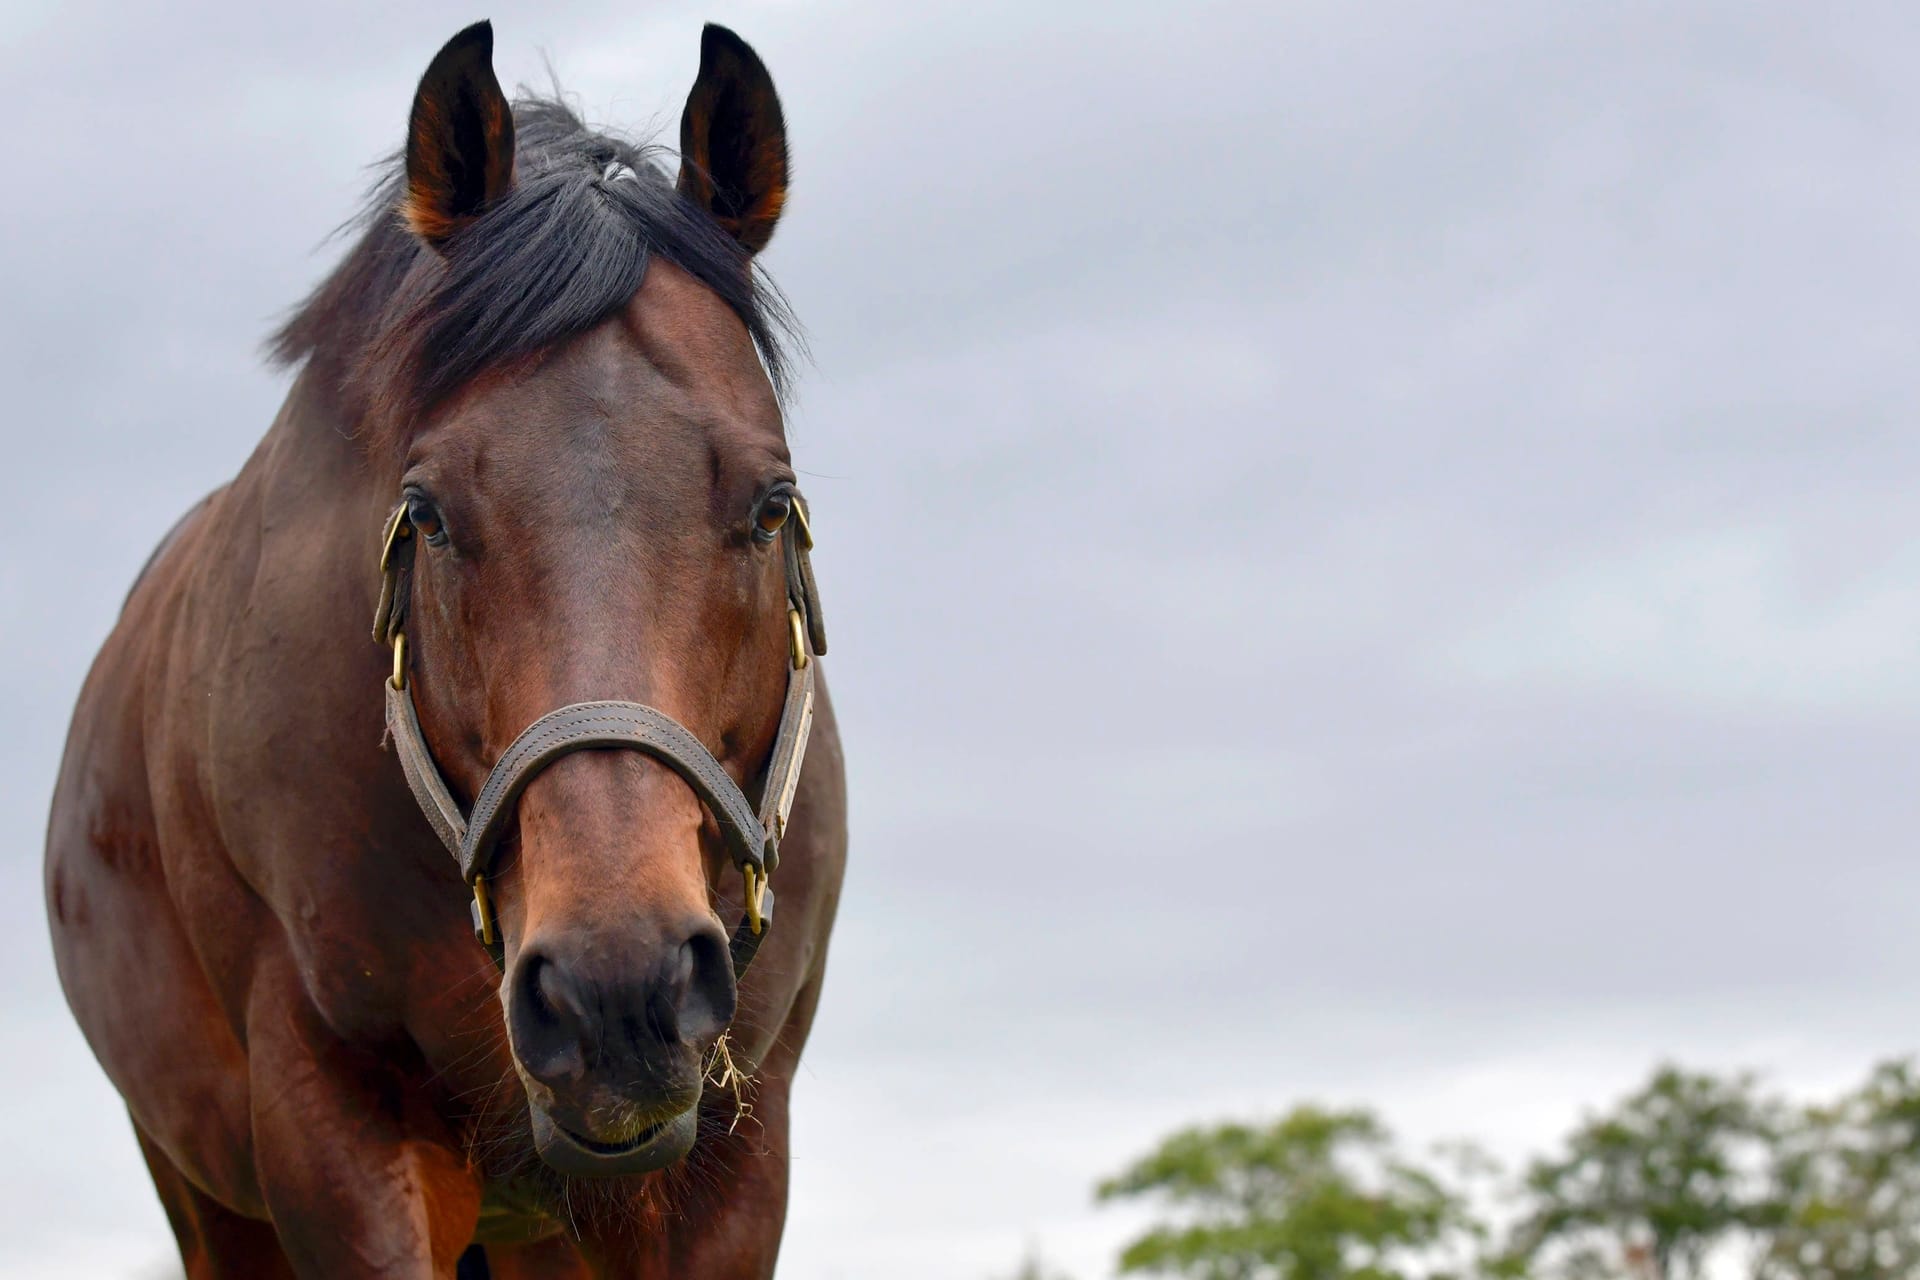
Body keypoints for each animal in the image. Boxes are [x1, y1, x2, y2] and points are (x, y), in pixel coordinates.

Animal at [39, 22, 840, 1280]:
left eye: (771, 503)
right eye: (426, 511)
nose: (618, 982)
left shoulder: (738, 1154)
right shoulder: (330, 1124)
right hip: (205, 1186)